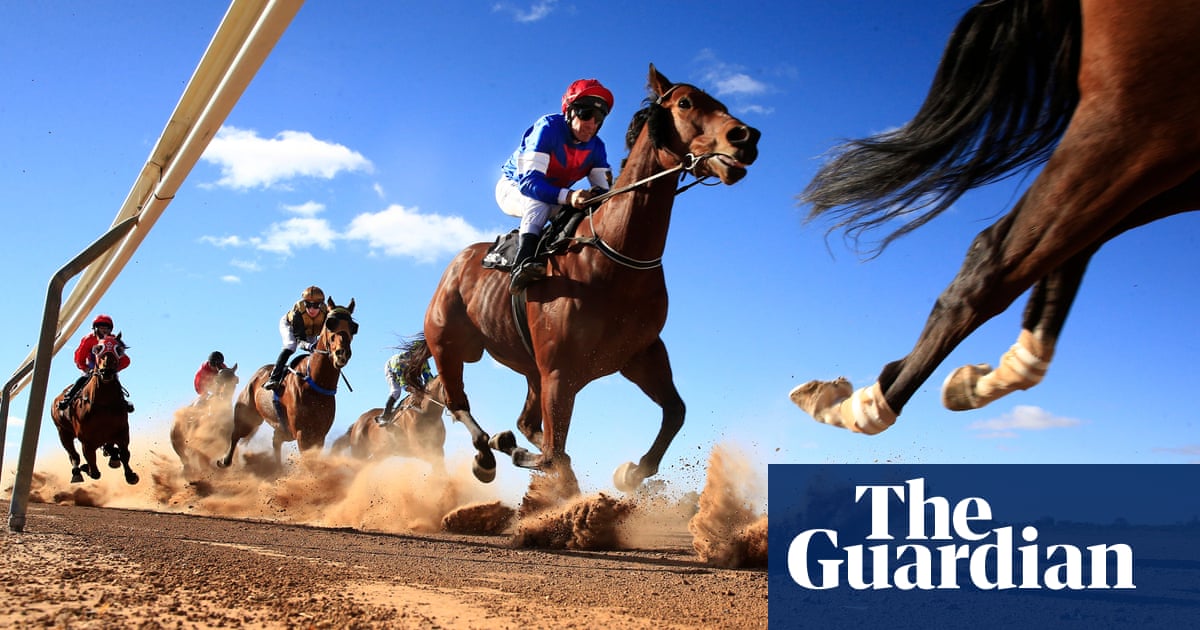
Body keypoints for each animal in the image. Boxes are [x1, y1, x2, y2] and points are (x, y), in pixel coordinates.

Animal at [50, 331, 139, 484]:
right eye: (98, 348)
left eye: (119, 349)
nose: (106, 371)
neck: (104, 403)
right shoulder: (87, 442)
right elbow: (94, 472)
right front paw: (86, 467)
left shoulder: (122, 432)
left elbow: (124, 453)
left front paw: (130, 474)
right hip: (63, 432)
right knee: (73, 455)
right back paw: (77, 472)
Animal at [218, 298, 355, 465]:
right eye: (330, 324)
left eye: (353, 327)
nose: (342, 353)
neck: (316, 382)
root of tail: (257, 374)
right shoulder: (302, 433)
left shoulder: (319, 435)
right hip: (247, 414)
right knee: (236, 434)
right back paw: (225, 460)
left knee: (275, 441)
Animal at [403, 63, 758, 496]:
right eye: (686, 103)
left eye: (720, 103)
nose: (746, 138)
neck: (614, 260)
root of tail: (460, 261)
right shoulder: (560, 373)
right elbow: (553, 452)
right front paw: (522, 455)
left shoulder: (639, 355)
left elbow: (675, 412)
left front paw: (631, 472)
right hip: (450, 345)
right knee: (461, 406)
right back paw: (489, 453)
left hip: (531, 370)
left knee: (526, 423)